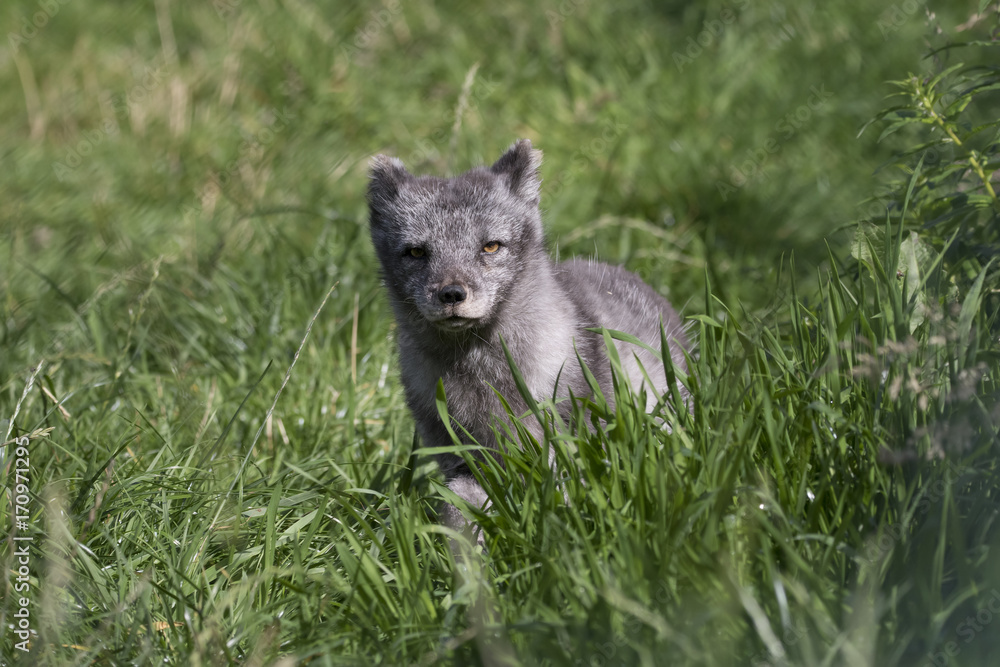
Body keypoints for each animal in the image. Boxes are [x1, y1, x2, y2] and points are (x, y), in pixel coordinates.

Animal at [367, 139, 690, 535]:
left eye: (490, 246)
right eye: (416, 252)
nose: (452, 294)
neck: (484, 381)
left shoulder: (572, 442)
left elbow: (561, 502)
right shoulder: (463, 460)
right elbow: (458, 515)